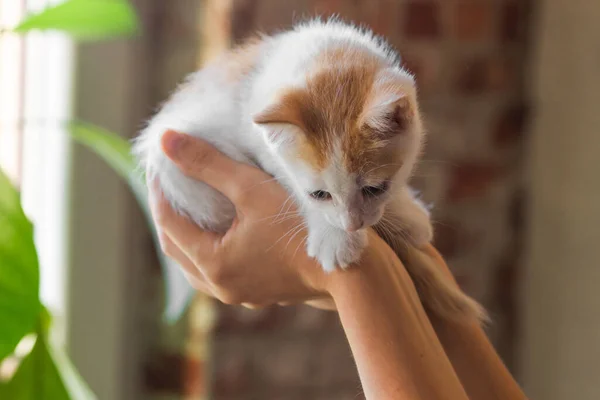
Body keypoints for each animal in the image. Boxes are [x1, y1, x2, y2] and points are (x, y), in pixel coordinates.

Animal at [135, 19, 488, 324]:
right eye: (320, 194)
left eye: (375, 189)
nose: (352, 224)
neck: (326, 55)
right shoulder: (263, 149)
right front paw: (336, 237)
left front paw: (405, 213)